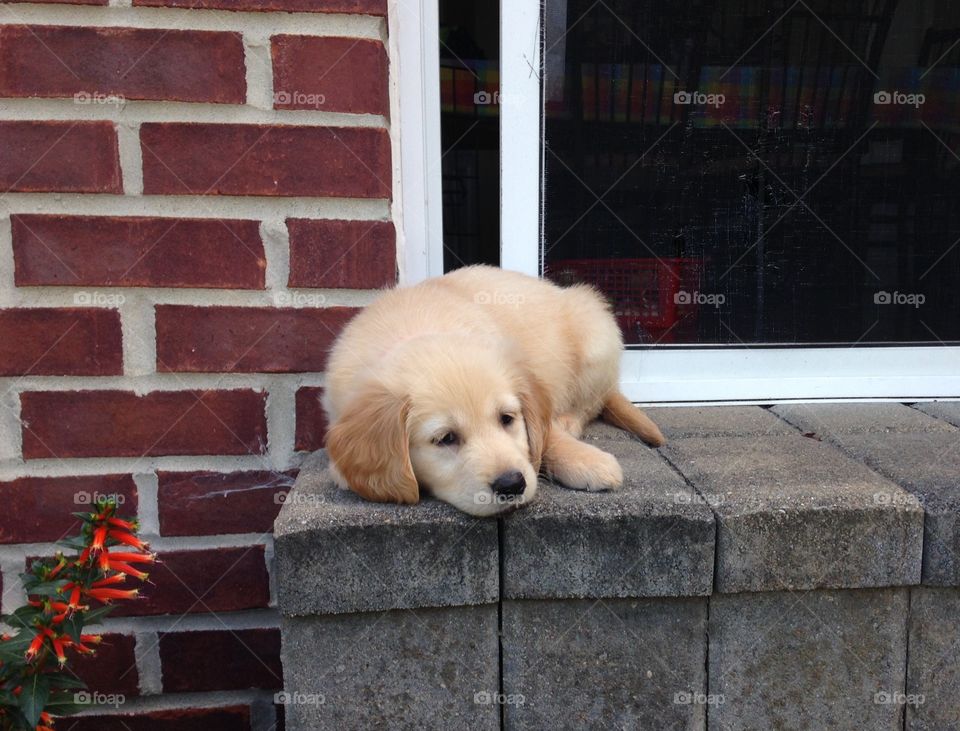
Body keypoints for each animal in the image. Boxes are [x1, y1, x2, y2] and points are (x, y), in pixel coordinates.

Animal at [326, 266, 664, 516]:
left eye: (507, 419)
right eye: (445, 438)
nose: (512, 484)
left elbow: (547, 437)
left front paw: (587, 462)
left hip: (595, 332)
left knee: (592, 402)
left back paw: (567, 420)